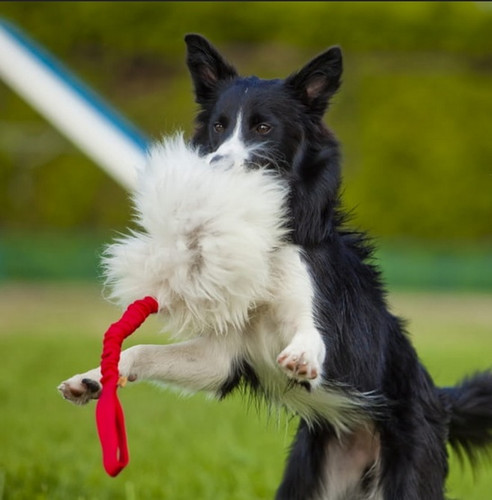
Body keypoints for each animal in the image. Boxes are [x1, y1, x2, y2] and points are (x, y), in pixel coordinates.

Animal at [58, 33, 492, 498]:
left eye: (263, 128)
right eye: (219, 126)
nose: (215, 166)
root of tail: (440, 402)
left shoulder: (322, 318)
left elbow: (310, 332)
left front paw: (302, 356)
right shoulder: (222, 355)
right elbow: (141, 350)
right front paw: (92, 379)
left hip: (408, 471)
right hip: (308, 476)